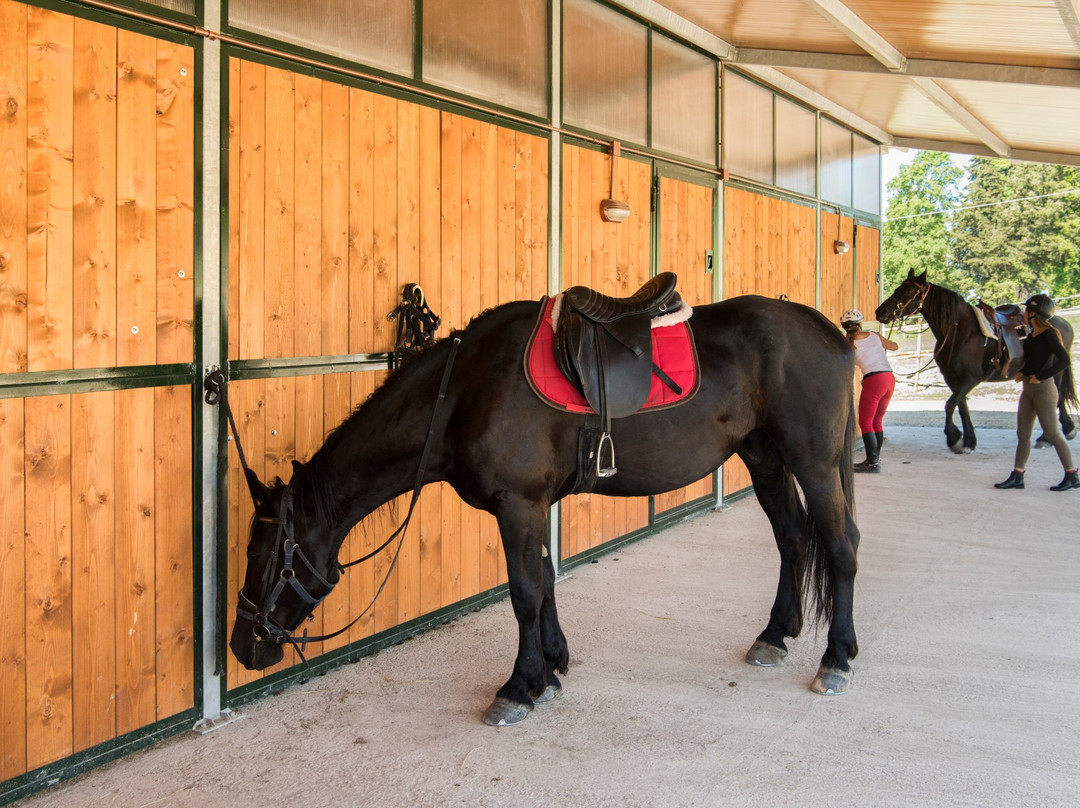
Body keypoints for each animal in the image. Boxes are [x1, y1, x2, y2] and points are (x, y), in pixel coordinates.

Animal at [227, 291, 859, 725]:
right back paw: (775, 635)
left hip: (814, 464)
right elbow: (547, 582)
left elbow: (525, 592)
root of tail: (830, 332)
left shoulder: (519, 505)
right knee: (791, 538)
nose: (242, 647)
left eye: (262, 556)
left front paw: (519, 686)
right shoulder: (535, 508)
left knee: (840, 546)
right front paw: (552, 666)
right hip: (765, 458)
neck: (463, 393)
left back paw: (837, 658)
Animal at [872, 267, 1075, 451]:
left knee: (1058, 396)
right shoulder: (952, 378)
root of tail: (1062, 323)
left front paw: (954, 437)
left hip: (1054, 372)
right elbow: (961, 405)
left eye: (910, 291)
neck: (958, 332)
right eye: (898, 288)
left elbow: (950, 404)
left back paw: (1057, 433)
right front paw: (969, 439)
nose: (881, 311)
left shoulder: (971, 378)